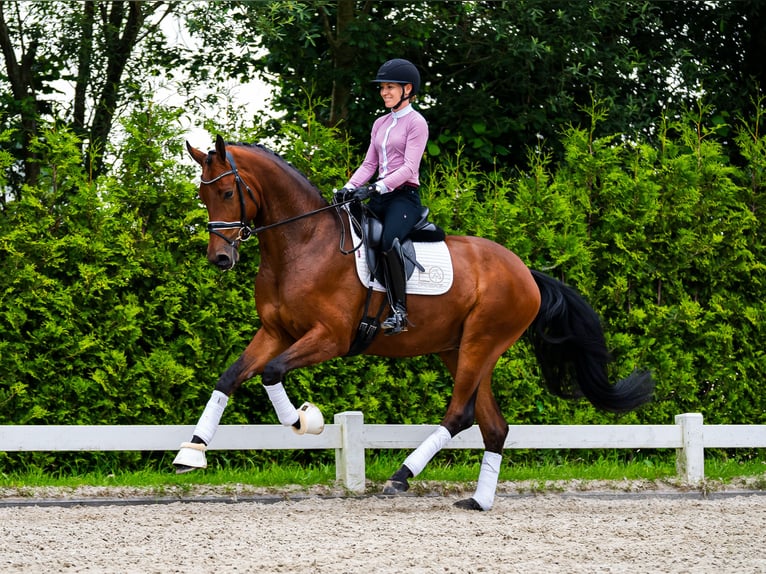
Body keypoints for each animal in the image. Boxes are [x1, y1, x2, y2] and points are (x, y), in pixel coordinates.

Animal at [176, 135, 660, 512]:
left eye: (226, 193)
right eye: (202, 195)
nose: (220, 259)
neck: (302, 242)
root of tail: (525, 272)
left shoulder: (330, 338)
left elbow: (272, 373)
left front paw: (303, 421)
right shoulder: (277, 333)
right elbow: (230, 377)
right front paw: (192, 452)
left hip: (481, 343)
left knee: (460, 413)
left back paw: (401, 475)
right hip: (458, 349)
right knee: (493, 425)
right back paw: (478, 501)